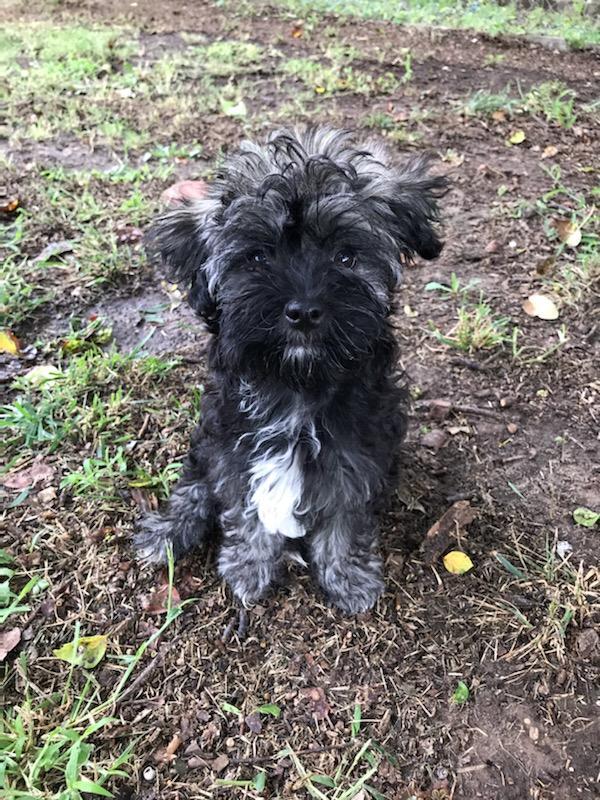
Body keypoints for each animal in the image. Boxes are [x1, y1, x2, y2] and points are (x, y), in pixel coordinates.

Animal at [135, 128, 447, 614]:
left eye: (345, 257)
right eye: (258, 257)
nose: (303, 311)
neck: (297, 382)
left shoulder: (355, 454)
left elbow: (344, 516)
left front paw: (348, 576)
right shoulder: (235, 446)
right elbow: (244, 508)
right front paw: (248, 567)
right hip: (208, 439)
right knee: (195, 484)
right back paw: (168, 531)